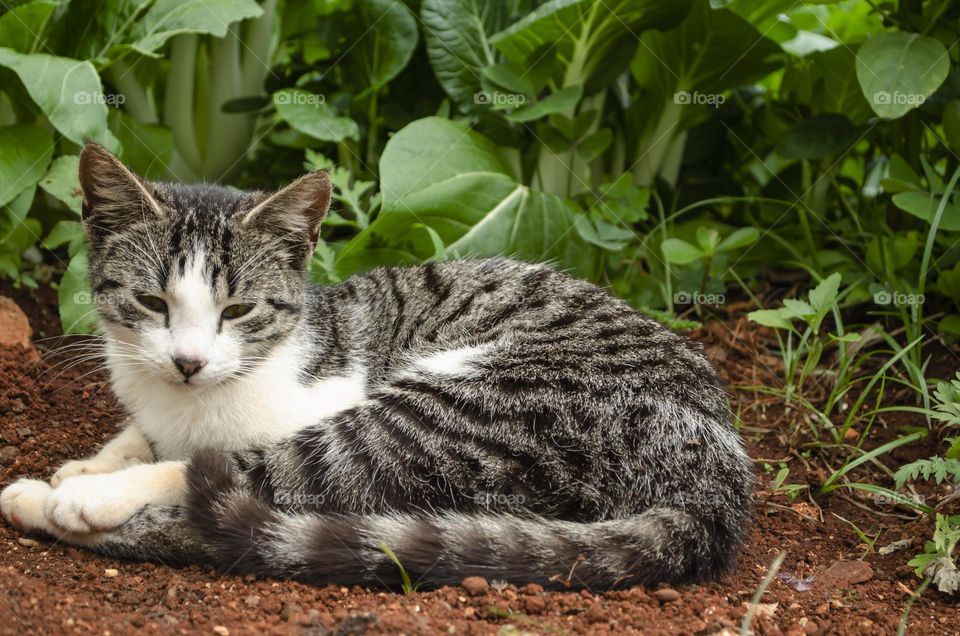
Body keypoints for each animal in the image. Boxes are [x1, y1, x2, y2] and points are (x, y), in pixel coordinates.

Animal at [0, 144, 752, 592]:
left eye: (237, 309)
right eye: (153, 301)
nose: (188, 360)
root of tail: (723, 478)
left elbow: (202, 460)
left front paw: (88, 488)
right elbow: (139, 433)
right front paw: (92, 461)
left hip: (463, 407)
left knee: (250, 491)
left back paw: (48, 503)